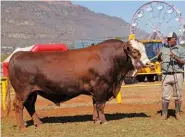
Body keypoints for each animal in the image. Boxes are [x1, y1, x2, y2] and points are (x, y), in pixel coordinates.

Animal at [6, 38, 150, 130]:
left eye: (144, 49)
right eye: (134, 51)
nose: (148, 63)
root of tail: (16, 56)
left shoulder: (96, 89)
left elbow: (95, 104)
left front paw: (96, 119)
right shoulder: (101, 86)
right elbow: (101, 105)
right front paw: (103, 121)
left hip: (33, 93)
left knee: (30, 106)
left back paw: (39, 123)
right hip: (23, 91)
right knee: (18, 105)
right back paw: (22, 127)